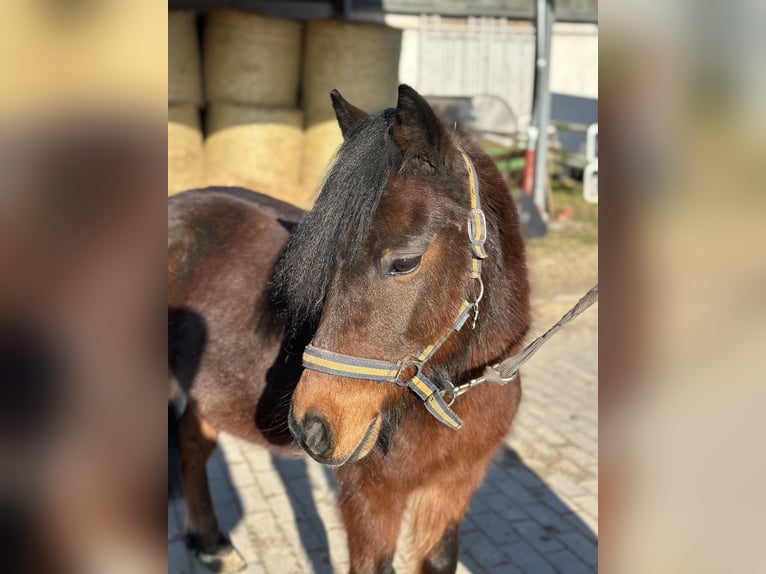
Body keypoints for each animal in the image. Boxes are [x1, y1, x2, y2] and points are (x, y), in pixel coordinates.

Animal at [169, 85, 532, 574]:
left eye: (405, 261)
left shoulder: (453, 488)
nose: (311, 428)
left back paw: (212, 544)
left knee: (191, 441)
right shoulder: (371, 498)